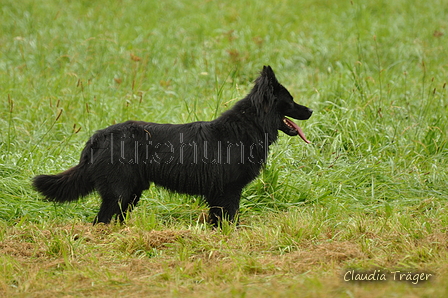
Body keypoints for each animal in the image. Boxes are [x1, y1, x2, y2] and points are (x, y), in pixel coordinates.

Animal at [32, 66, 312, 226]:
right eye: (290, 101)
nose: (311, 110)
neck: (247, 126)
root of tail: (98, 136)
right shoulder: (228, 191)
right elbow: (230, 220)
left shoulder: (219, 194)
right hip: (119, 193)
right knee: (101, 220)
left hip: (131, 194)